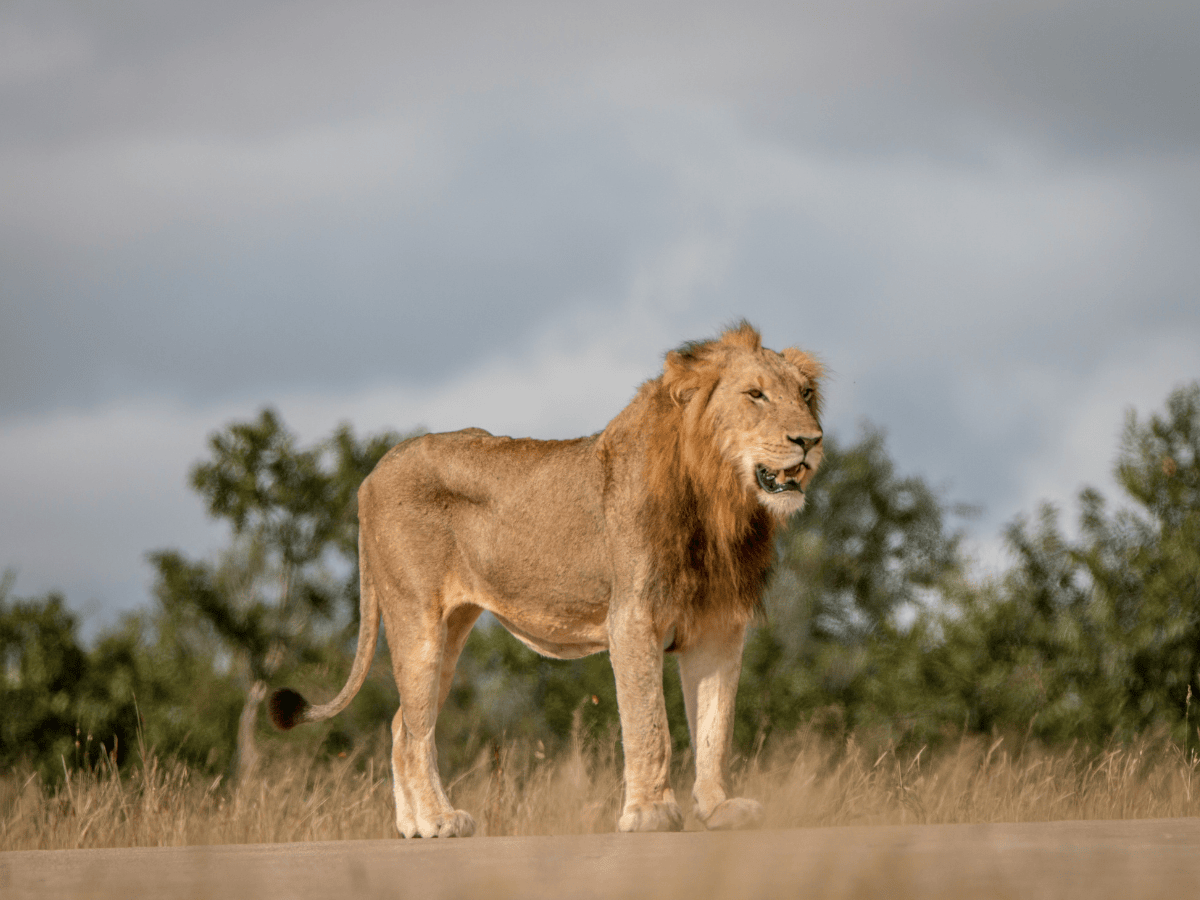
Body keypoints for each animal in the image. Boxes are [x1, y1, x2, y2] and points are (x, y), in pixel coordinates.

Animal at [269, 321, 824, 837]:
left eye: (805, 394)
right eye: (755, 394)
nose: (811, 441)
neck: (721, 500)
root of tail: (372, 474)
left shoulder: (718, 627)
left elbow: (714, 727)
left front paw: (718, 809)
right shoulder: (632, 617)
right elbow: (650, 725)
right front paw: (650, 813)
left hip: (451, 628)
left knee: (402, 722)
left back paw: (414, 825)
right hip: (417, 618)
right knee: (413, 732)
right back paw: (441, 820)